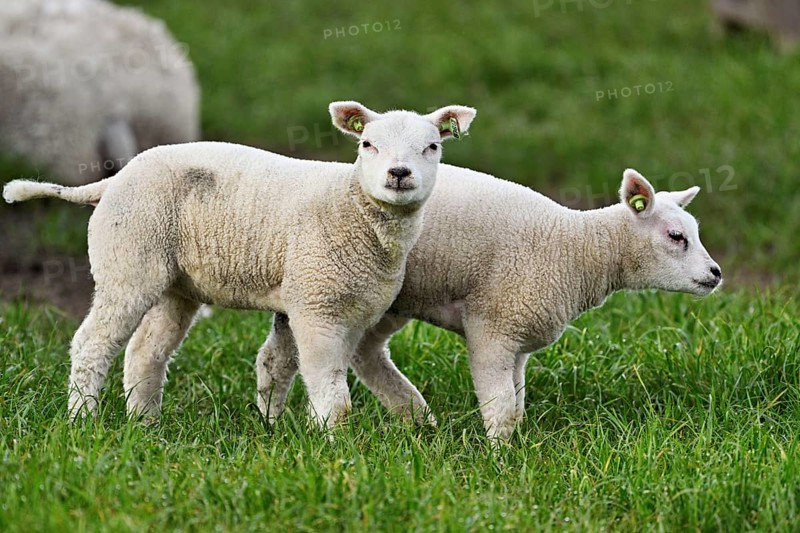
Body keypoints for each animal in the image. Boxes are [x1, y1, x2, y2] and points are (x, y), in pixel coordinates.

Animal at [2, 101, 477, 427]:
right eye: (367, 144)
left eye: (432, 146)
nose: (399, 174)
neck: (352, 208)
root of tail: (113, 181)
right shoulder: (317, 303)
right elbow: (329, 389)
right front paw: (335, 443)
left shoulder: (318, 302)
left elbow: (279, 366)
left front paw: (279, 429)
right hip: (128, 260)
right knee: (91, 344)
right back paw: (82, 420)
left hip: (174, 283)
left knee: (145, 352)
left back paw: (145, 425)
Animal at [259, 167, 722, 439]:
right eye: (676, 236)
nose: (716, 274)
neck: (576, 250)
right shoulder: (495, 325)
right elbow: (501, 407)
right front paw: (500, 457)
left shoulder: (519, 341)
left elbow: (516, 401)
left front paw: (515, 447)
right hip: (338, 287)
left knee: (301, 355)